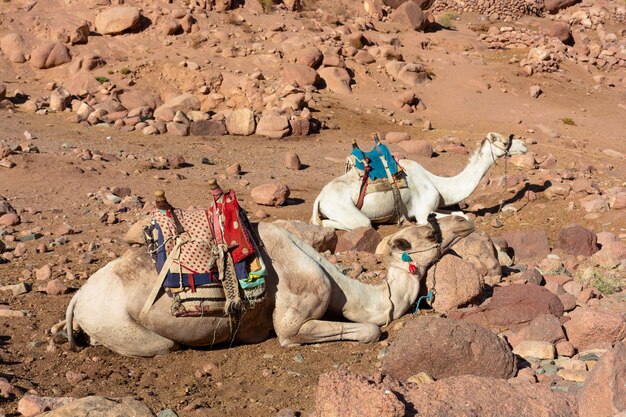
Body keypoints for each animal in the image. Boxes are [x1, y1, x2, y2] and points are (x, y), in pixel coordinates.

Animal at [52, 216, 472, 356]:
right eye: (430, 231)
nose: (465, 221)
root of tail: (79, 298)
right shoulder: (293, 320)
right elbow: (370, 329)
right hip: (122, 325)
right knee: (163, 345)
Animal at [310, 132, 524, 231]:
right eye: (505, 142)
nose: (524, 146)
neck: (437, 183)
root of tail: (319, 198)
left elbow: (460, 213)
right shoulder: (421, 213)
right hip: (345, 209)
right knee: (351, 223)